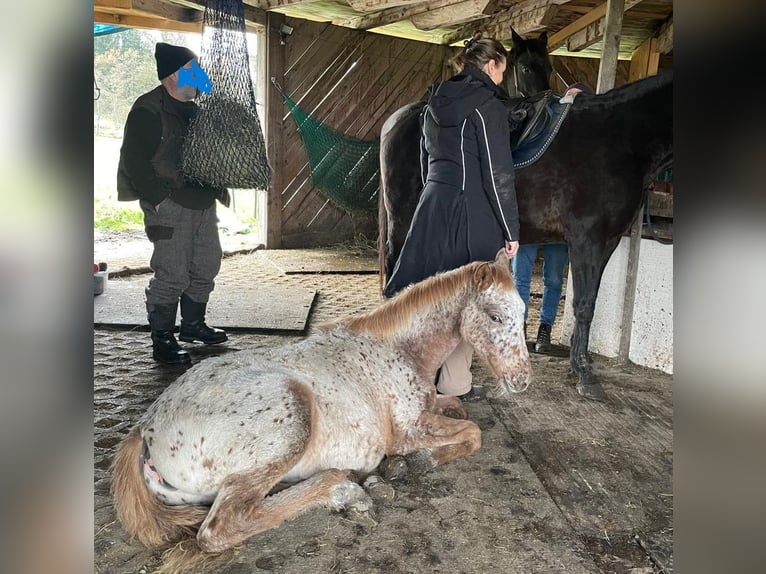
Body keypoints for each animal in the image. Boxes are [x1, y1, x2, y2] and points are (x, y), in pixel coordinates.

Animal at [114, 251, 532, 568]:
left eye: (523, 312)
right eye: (495, 316)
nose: (522, 380)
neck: (400, 352)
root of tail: (146, 428)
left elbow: (457, 407)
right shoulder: (406, 432)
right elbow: (473, 434)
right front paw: (414, 462)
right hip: (291, 420)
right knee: (222, 527)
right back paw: (342, 487)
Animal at [380, 72, 676, 402]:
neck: (621, 139)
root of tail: (399, 118)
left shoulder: (608, 242)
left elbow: (590, 302)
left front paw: (578, 366)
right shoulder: (587, 240)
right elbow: (584, 304)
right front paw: (585, 375)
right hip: (403, 222)